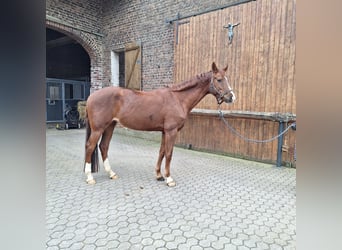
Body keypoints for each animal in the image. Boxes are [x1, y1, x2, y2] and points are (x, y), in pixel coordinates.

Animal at [84, 63, 236, 186]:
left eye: (227, 79)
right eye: (219, 79)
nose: (231, 97)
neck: (178, 99)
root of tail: (91, 96)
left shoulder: (164, 131)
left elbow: (161, 152)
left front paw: (159, 175)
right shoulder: (171, 131)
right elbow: (169, 153)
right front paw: (169, 179)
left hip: (110, 126)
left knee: (103, 146)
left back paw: (111, 173)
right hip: (98, 129)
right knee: (90, 147)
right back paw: (90, 177)